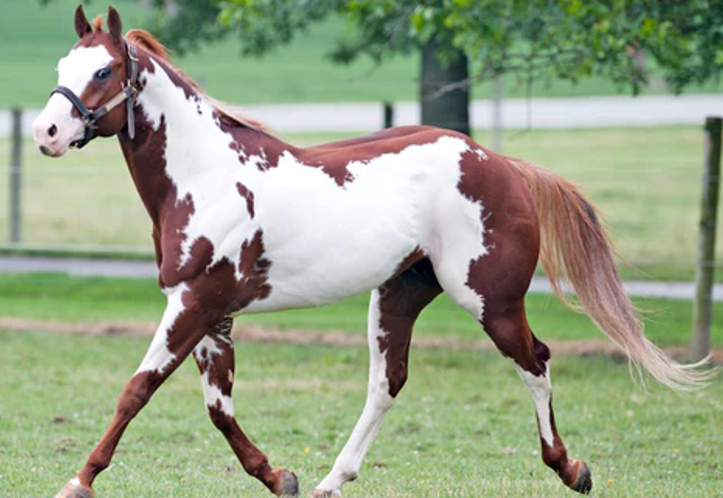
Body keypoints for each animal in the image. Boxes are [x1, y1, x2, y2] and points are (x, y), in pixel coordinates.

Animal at [32, 4, 708, 498]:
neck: (207, 176)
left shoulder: (194, 305)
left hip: (490, 300)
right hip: (398, 295)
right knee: (388, 382)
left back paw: (571, 468)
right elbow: (219, 409)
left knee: (535, 362)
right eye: (63, 63)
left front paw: (77, 481)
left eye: (103, 71)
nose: (46, 132)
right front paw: (282, 476)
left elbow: (136, 391)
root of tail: (500, 162)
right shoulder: (210, 314)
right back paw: (331, 481)